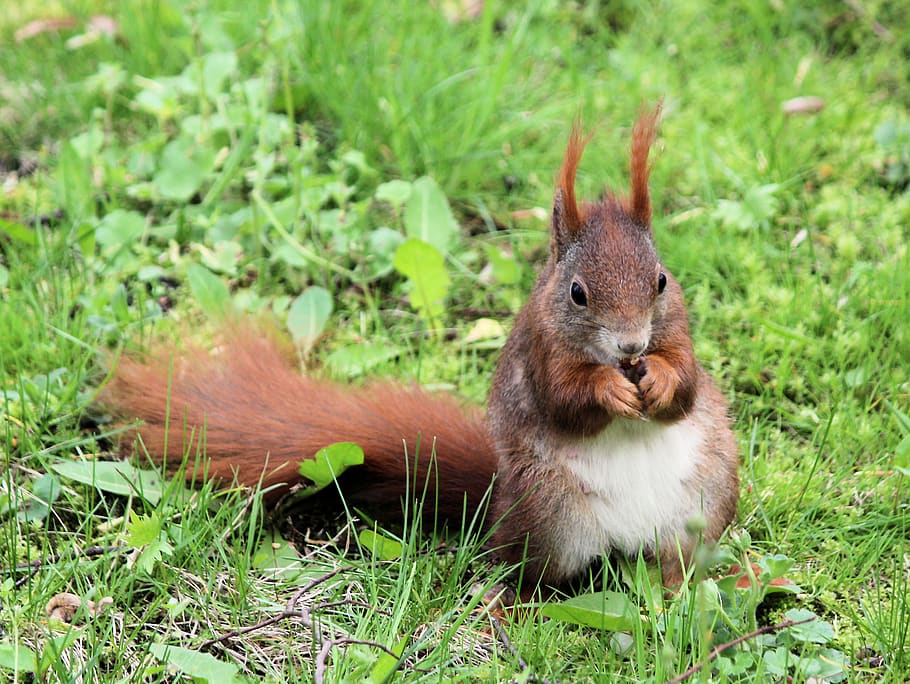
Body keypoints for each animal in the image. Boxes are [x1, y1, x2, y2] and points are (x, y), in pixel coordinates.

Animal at [102, 106, 740, 588]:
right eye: (578, 293)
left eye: (661, 280)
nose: (632, 344)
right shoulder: (539, 353)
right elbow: (565, 400)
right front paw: (609, 388)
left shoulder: (677, 332)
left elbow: (686, 384)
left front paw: (658, 378)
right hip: (550, 514)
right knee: (526, 576)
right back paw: (504, 607)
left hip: (705, 501)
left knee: (677, 569)